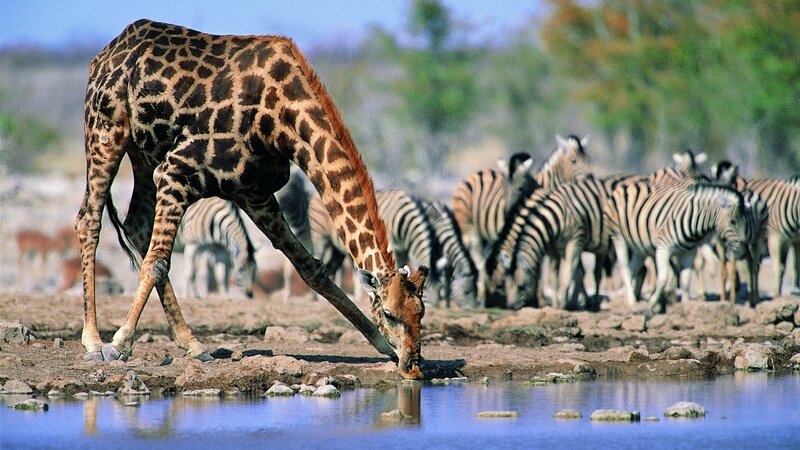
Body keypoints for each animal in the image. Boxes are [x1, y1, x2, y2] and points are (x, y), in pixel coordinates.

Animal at [76, 19, 427, 379]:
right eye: (390, 314)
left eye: (421, 313)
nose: (414, 367)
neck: (279, 117)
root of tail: (103, 54)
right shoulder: (176, 170)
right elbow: (157, 262)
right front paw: (119, 343)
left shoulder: (253, 193)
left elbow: (312, 268)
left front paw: (381, 344)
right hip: (106, 133)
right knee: (89, 220)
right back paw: (94, 341)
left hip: (143, 155)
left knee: (136, 224)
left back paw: (193, 344)